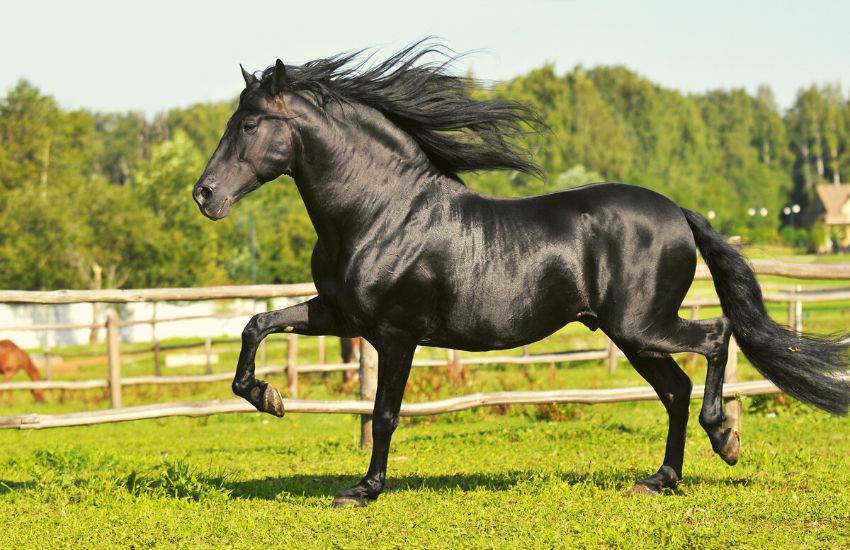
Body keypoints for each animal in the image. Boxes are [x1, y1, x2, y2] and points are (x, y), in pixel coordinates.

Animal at [192, 43, 848, 508]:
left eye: (248, 125)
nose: (204, 195)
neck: (380, 211)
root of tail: (677, 212)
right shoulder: (341, 315)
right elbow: (257, 323)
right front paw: (268, 397)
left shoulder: (397, 334)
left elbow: (383, 415)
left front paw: (362, 491)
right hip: (630, 334)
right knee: (675, 389)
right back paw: (660, 479)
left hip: (641, 324)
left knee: (714, 339)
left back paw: (725, 439)